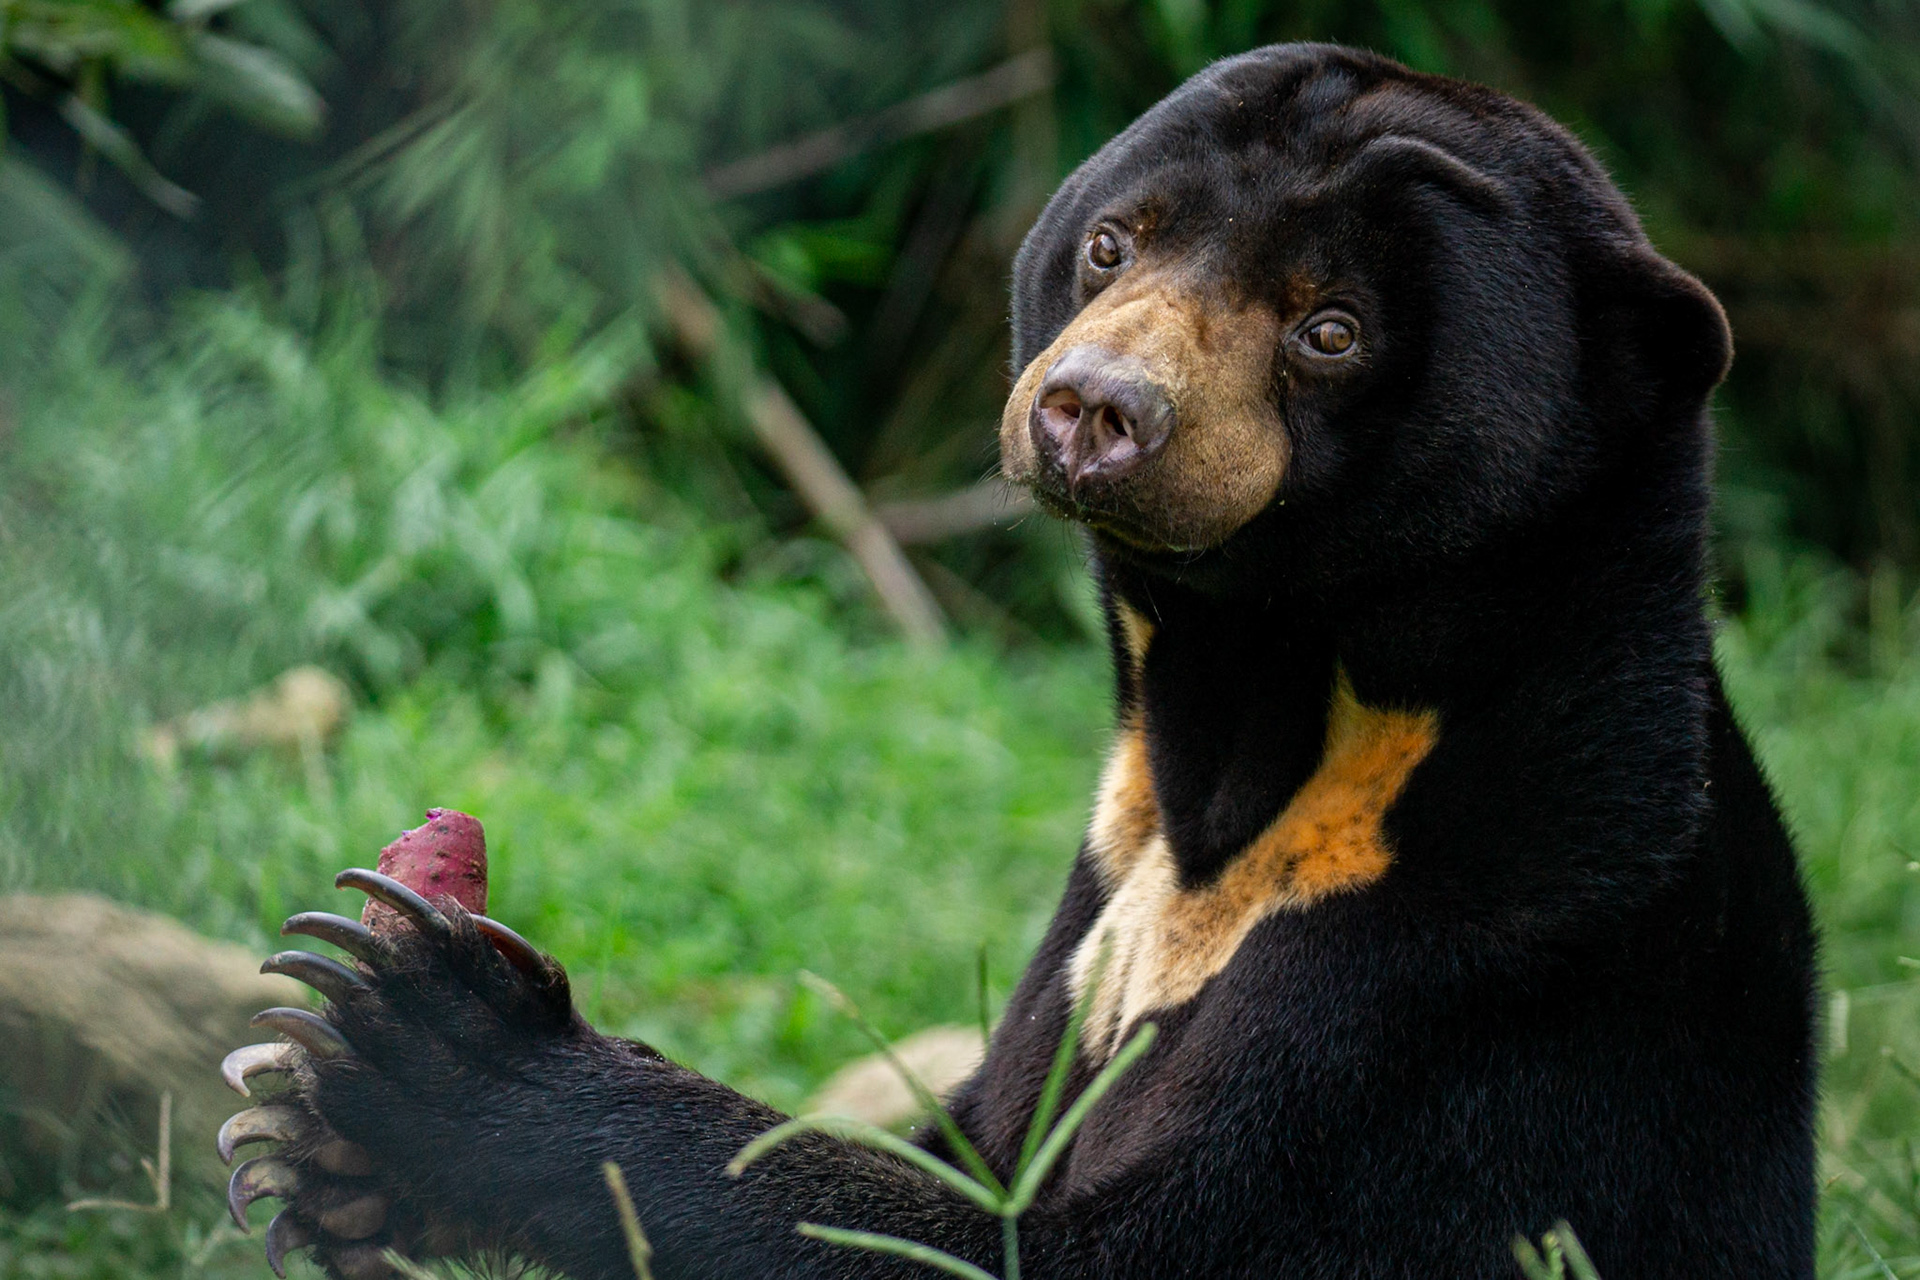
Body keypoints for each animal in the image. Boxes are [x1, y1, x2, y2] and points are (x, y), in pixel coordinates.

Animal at [216, 42, 1819, 1280]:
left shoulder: (1474, 970)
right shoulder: (1107, 881)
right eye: (1116, 241)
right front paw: (314, 1141)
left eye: (1331, 328)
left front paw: (425, 1044)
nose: (1094, 411)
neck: (1266, 718)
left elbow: (1065, 1242)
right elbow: (969, 1132)